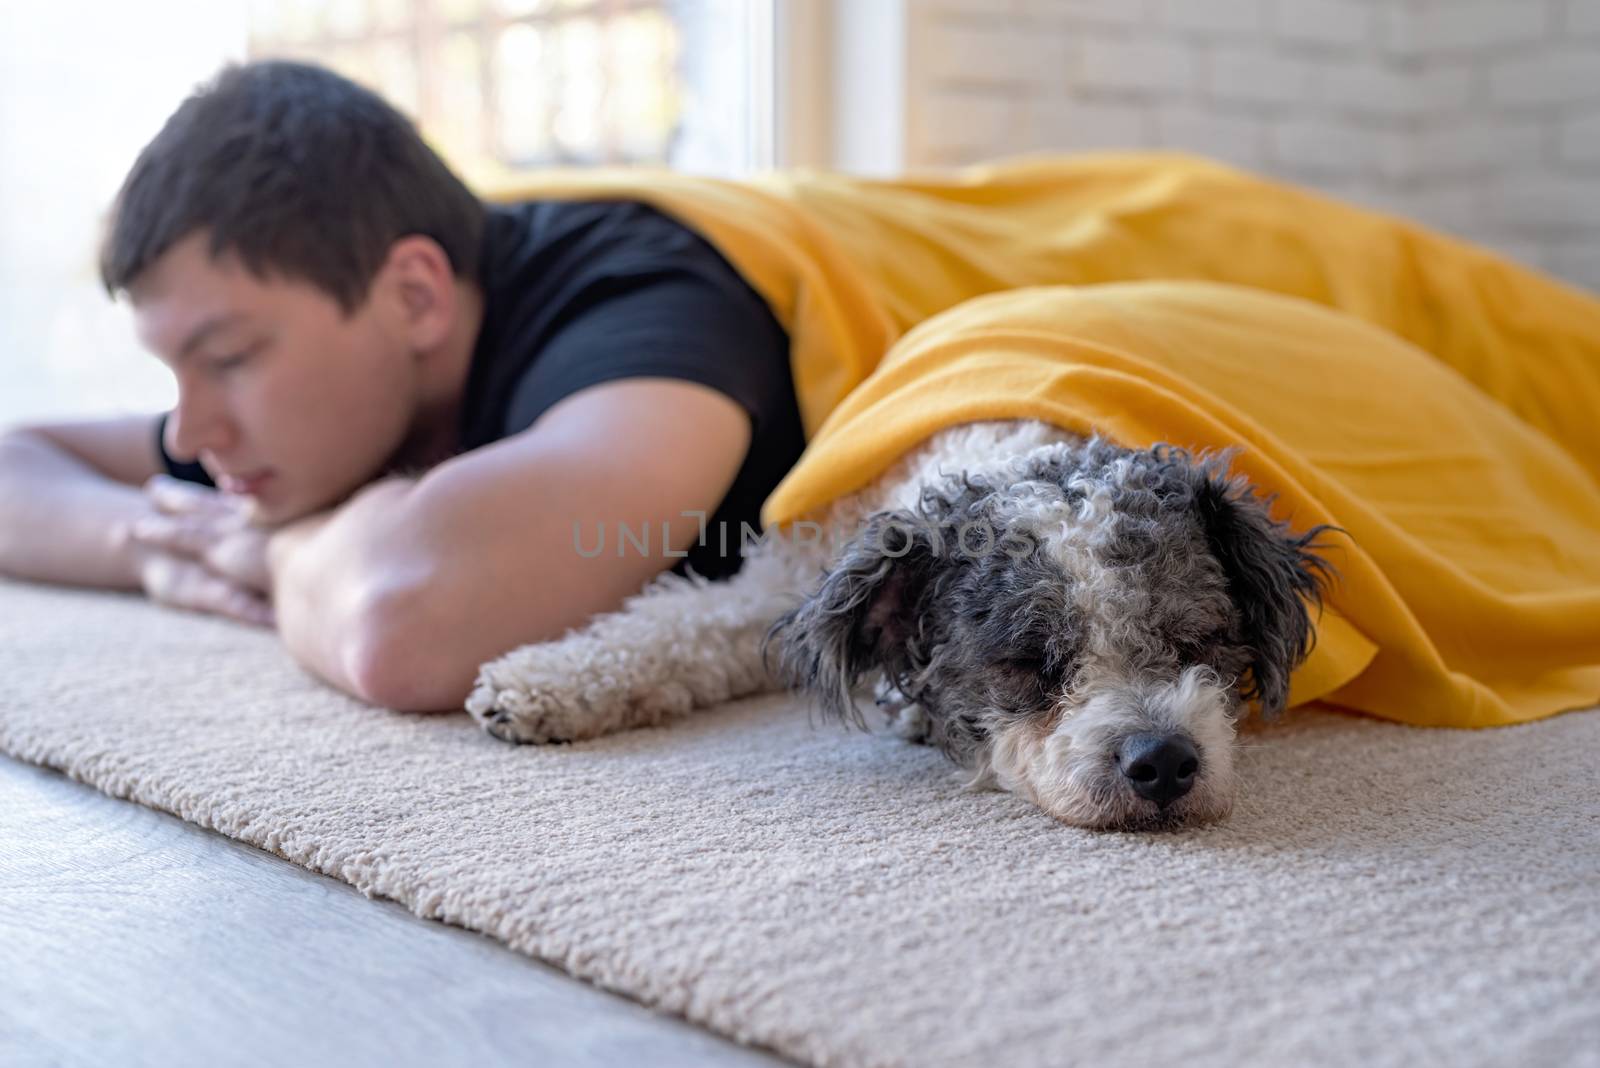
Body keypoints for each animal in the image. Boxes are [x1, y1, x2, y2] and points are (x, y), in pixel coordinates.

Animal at [467, 418, 1344, 831]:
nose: (1161, 761)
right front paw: (535, 685)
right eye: (1027, 662)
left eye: (1200, 642)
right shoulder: (788, 579)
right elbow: (678, 623)